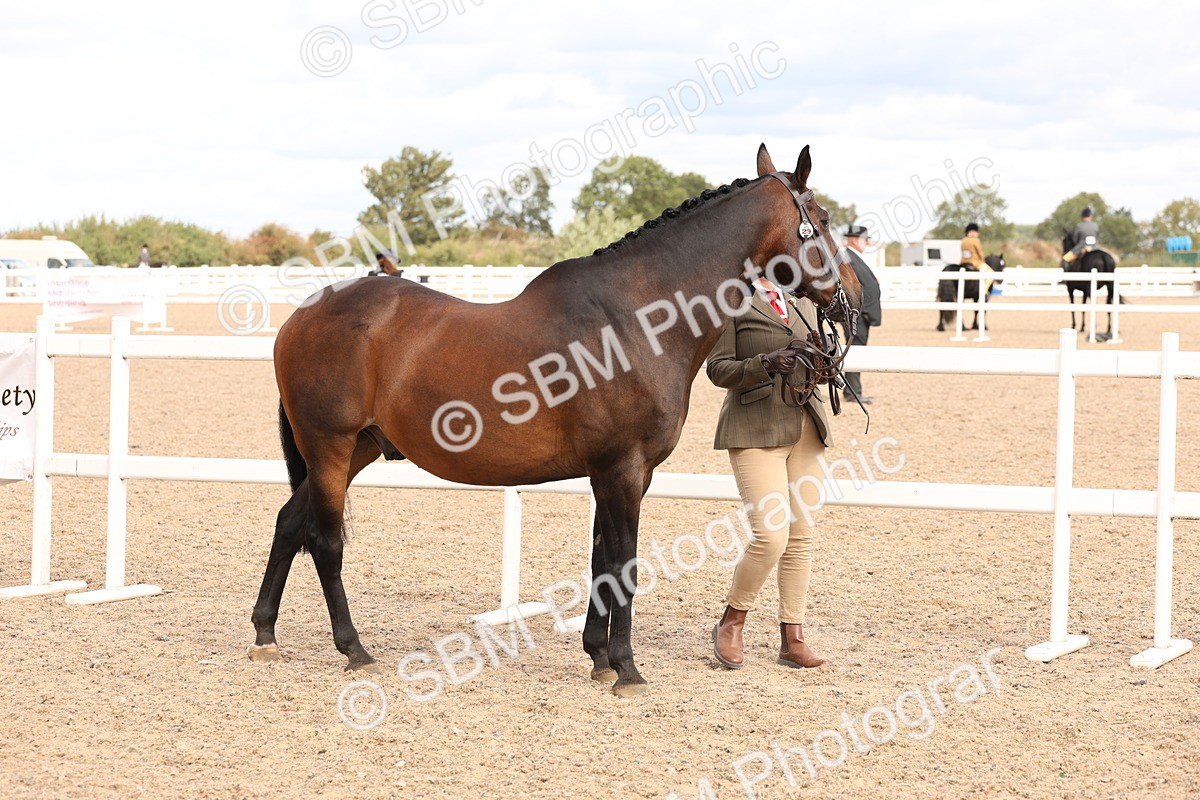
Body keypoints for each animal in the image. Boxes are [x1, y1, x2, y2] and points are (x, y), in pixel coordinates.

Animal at [247, 144, 863, 698]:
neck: (635, 318)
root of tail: (300, 317)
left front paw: (598, 658)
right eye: (823, 219)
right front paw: (627, 669)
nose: (854, 300)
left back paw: (265, 634)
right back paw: (354, 649)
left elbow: (602, 557)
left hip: (358, 449)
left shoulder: (620, 472)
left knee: (288, 522)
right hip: (331, 446)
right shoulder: (622, 469)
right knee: (324, 539)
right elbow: (623, 562)